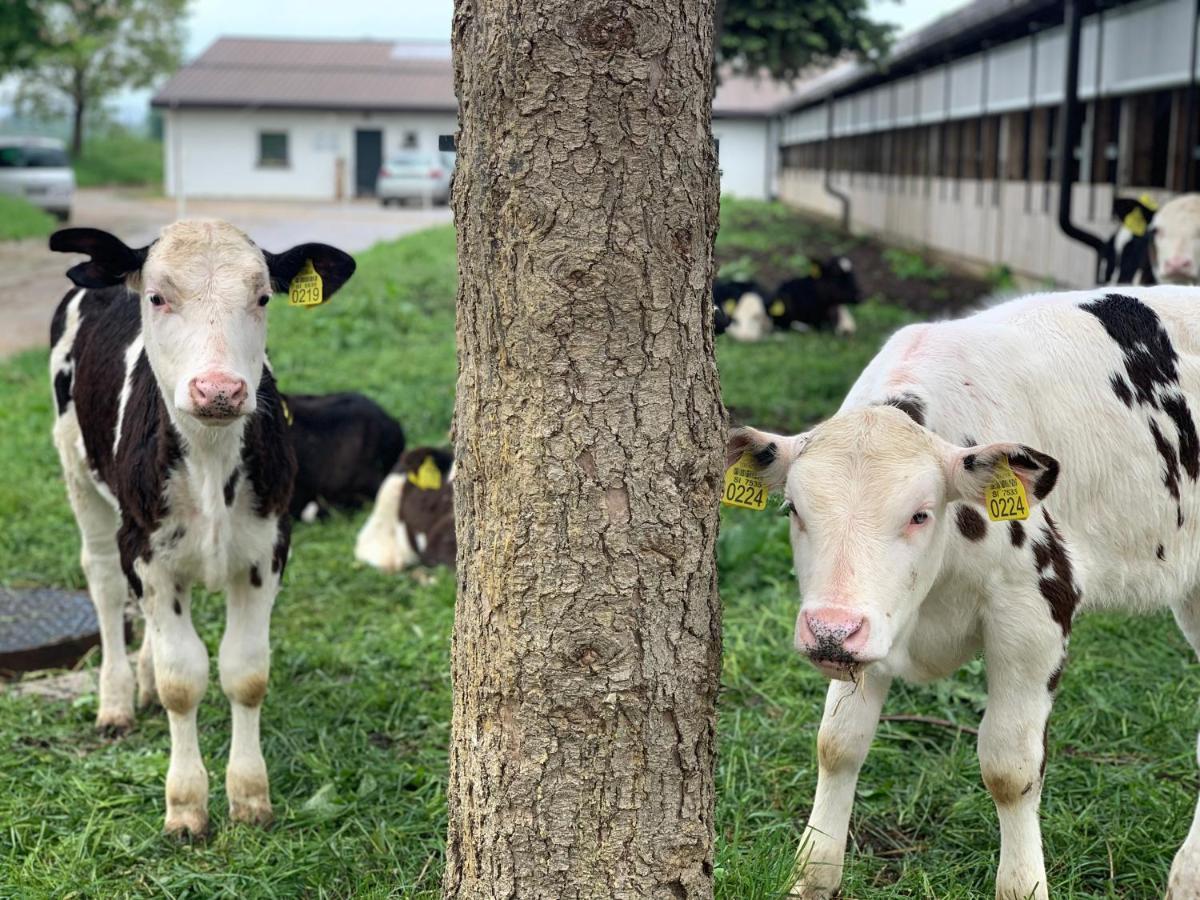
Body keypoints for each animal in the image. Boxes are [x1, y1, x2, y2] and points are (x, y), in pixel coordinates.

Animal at [48, 220, 355, 840]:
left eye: (263, 298)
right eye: (157, 297)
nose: (219, 390)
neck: (212, 462)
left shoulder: (269, 547)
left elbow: (245, 672)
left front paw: (250, 795)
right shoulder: (144, 549)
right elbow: (182, 680)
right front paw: (186, 804)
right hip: (78, 471)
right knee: (104, 582)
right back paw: (116, 700)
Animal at [724, 286, 1200, 900]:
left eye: (920, 514)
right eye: (792, 510)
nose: (830, 629)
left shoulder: (1034, 615)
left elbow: (1009, 769)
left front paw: (1023, 886)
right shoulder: (873, 629)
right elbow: (837, 743)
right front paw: (813, 878)